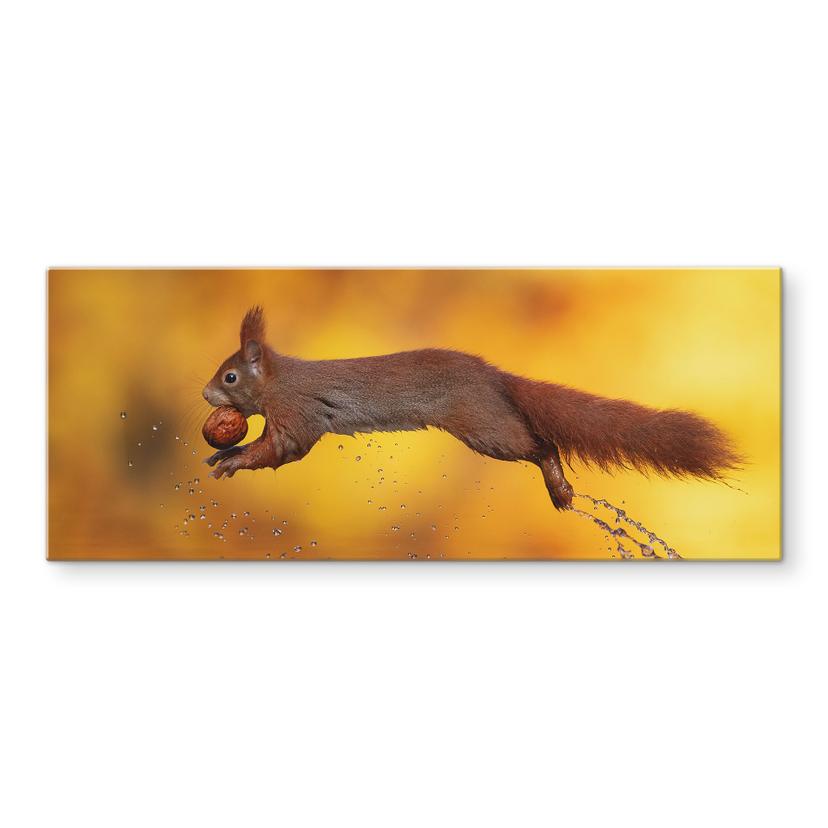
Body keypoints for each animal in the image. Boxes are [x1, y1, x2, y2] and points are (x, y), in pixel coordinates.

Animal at [202, 307, 740, 509]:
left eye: (229, 376)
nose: (205, 395)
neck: (279, 380)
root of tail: (496, 378)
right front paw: (220, 453)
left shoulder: (298, 414)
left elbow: (282, 450)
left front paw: (232, 460)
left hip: (485, 426)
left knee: (541, 445)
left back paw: (559, 486)